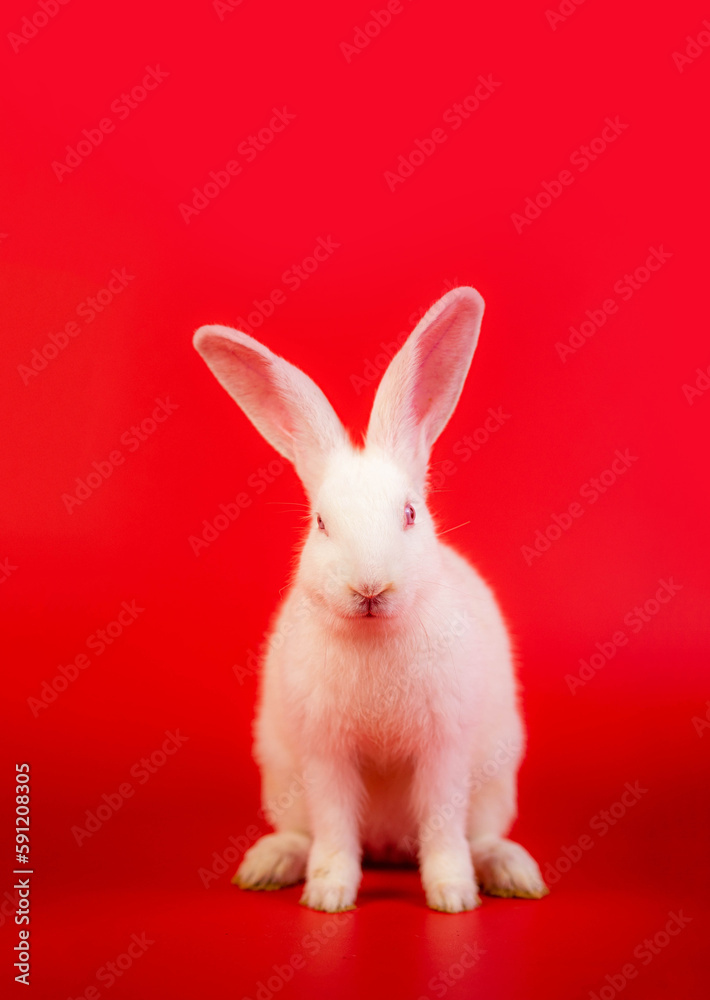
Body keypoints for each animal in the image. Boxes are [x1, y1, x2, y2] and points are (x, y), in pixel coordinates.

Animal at [193, 286, 548, 913]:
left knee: (478, 835)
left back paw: (511, 872)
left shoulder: (444, 749)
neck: (374, 634)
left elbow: (442, 826)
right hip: (283, 778)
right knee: (304, 832)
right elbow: (336, 827)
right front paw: (329, 896)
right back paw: (268, 865)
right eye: (321, 523)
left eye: (409, 513)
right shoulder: (324, 754)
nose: (370, 587)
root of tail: (387, 844)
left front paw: (453, 898)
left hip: (494, 783)